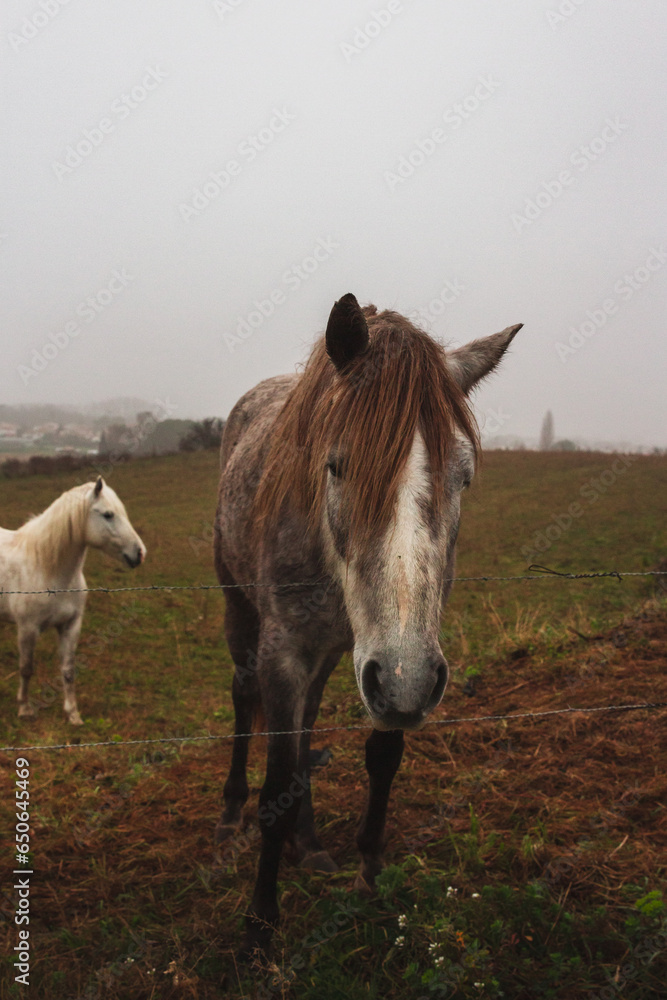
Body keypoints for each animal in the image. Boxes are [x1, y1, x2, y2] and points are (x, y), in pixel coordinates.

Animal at [0, 477, 146, 724]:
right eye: (108, 514)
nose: (139, 553)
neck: (46, 567)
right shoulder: (28, 628)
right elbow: (26, 668)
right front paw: (25, 709)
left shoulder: (70, 625)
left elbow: (68, 671)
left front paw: (73, 714)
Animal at [214, 293, 522, 958]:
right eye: (336, 466)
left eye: (464, 476)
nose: (407, 683)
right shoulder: (288, 653)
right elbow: (276, 779)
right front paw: (260, 924)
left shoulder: (392, 663)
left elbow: (381, 756)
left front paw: (369, 878)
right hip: (239, 610)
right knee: (244, 698)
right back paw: (229, 817)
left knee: (306, 724)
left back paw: (309, 844)